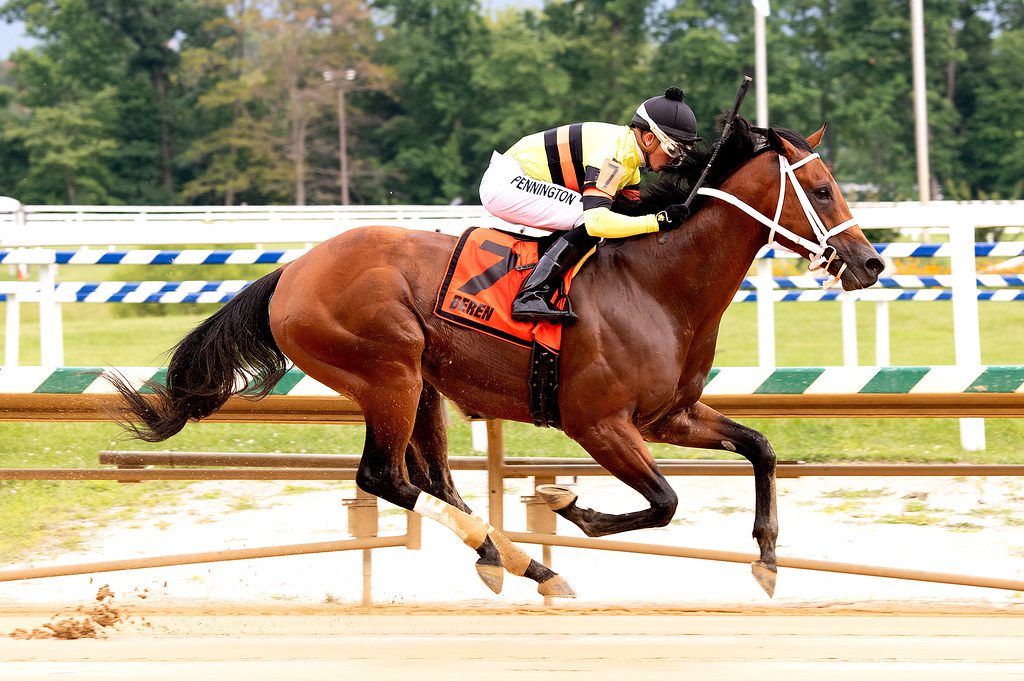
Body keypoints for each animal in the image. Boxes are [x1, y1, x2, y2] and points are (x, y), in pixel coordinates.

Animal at [108, 116, 884, 602]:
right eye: (821, 190)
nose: (870, 263)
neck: (656, 284)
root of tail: (291, 273)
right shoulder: (598, 423)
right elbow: (663, 502)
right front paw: (573, 507)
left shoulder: (671, 414)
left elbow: (760, 447)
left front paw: (768, 558)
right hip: (388, 371)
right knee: (384, 477)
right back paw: (517, 557)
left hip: (420, 384)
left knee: (431, 481)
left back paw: (515, 562)